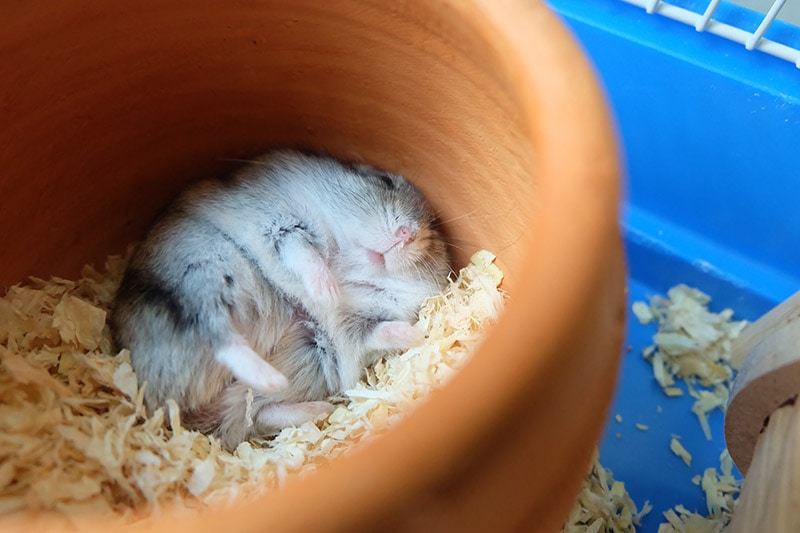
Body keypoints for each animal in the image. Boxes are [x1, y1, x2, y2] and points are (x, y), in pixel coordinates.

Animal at [109, 149, 450, 448]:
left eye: (432, 229)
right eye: (384, 181)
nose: (408, 234)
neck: (349, 262)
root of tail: (168, 403)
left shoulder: (363, 328)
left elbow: (380, 332)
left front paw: (416, 334)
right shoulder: (280, 223)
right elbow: (304, 253)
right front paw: (327, 291)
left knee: (257, 414)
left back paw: (318, 408)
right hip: (202, 277)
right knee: (221, 340)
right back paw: (272, 378)